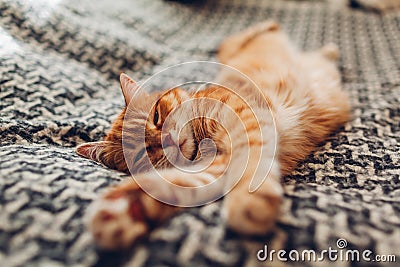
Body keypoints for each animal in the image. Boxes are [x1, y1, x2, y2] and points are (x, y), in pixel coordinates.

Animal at [76, 21, 350, 251]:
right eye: (142, 155)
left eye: (155, 117)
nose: (167, 141)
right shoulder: (214, 166)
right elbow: (172, 186)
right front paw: (122, 211)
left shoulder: (244, 121)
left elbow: (249, 162)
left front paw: (248, 202)